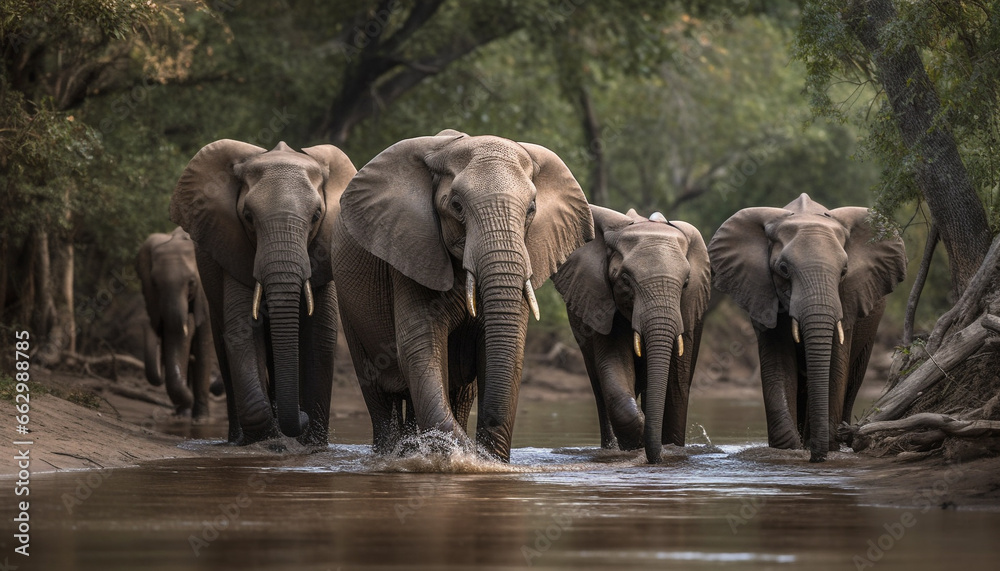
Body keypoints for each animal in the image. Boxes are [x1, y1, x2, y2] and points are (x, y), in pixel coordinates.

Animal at [136, 228, 218, 420]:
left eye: (192, 283)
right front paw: (184, 414)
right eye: (154, 283)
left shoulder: (206, 297)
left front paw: (201, 419)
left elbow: (203, 349)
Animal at [170, 140, 358, 446]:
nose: (301, 416)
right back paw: (238, 439)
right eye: (248, 217)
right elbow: (242, 331)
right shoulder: (233, 248)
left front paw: (311, 445)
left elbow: (319, 336)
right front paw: (269, 439)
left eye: (316, 216)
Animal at [328, 131, 592, 464]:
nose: (486, 432)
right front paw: (464, 458)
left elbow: (508, 350)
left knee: (457, 395)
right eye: (456, 206)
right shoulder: (410, 250)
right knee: (380, 395)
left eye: (532, 209)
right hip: (350, 306)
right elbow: (419, 346)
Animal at [556, 207, 712, 464]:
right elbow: (614, 367)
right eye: (625, 280)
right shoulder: (599, 300)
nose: (655, 459)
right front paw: (638, 444)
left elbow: (675, 385)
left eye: (686, 283)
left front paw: (666, 447)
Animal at [708, 194, 912, 462]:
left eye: (844, 271)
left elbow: (836, 364)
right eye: (783, 269)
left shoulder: (849, 298)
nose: (816, 457)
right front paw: (789, 447)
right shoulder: (762, 292)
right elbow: (778, 363)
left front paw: (823, 445)